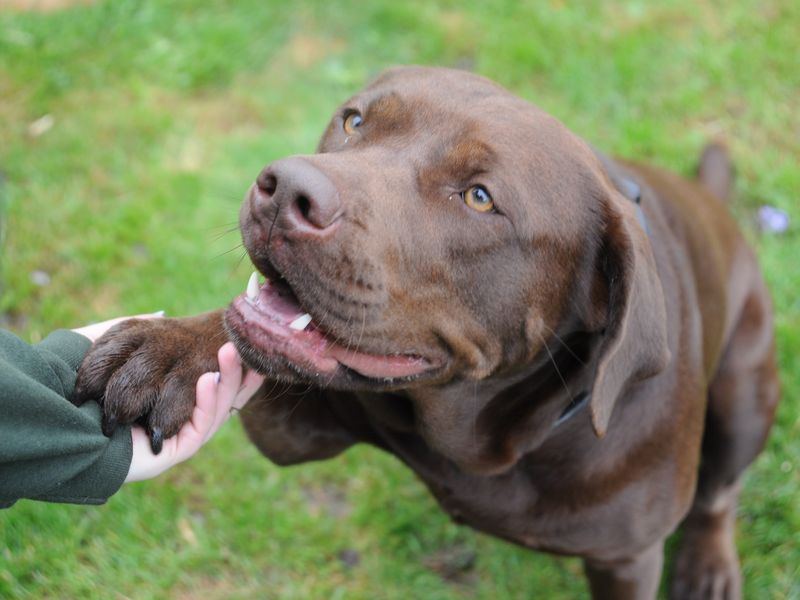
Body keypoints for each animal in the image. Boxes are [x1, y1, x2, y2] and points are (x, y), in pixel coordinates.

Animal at [73, 67, 776, 600]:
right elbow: (240, 336)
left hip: (746, 392)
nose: (285, 189)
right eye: (354, 121)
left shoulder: (626, 559)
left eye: (479, 198)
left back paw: (709, 567)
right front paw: (169, 351)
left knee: (719, 494)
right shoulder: (296, 430)